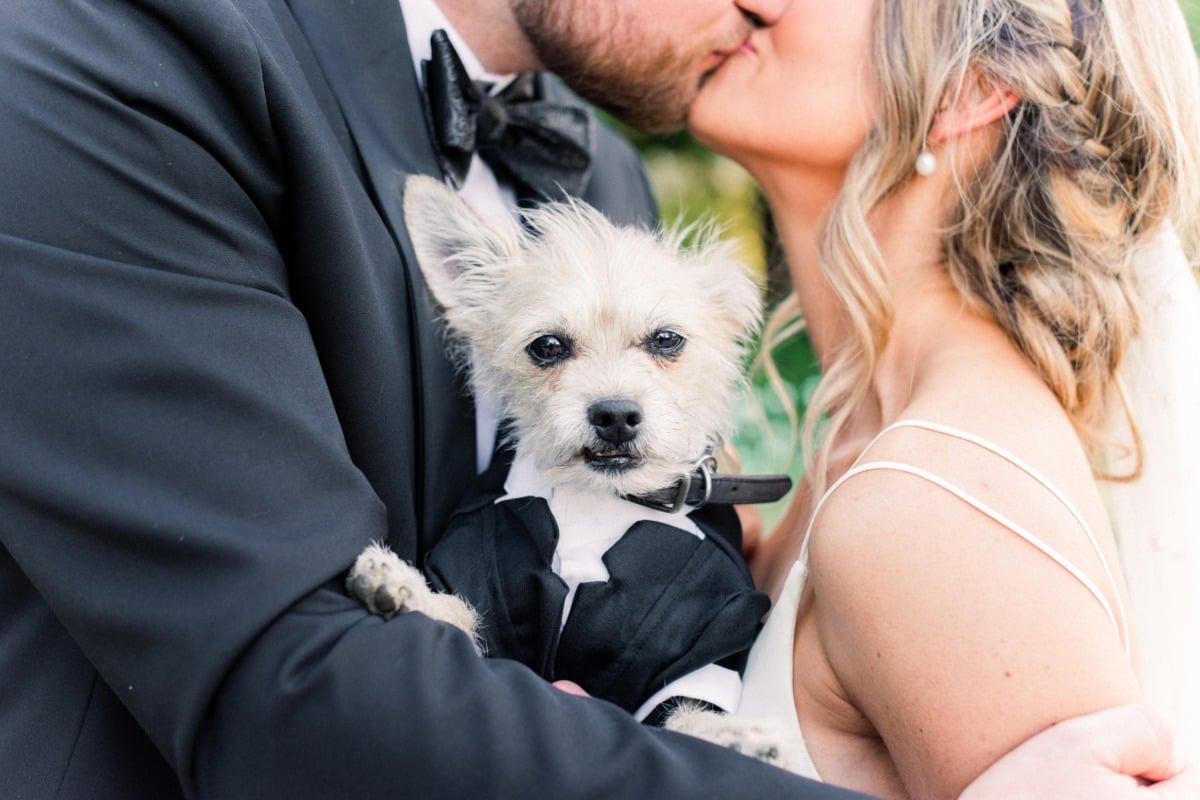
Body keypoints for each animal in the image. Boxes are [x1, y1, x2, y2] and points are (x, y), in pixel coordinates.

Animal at [345, 176, 796, 767]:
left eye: (666, 339)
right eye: (548, 346)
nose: (615, 415)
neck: (598, 503)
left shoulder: (705, 649)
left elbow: (688, 717)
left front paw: (739, 737)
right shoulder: (487, 596)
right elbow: (462, 616)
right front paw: (407, 589)